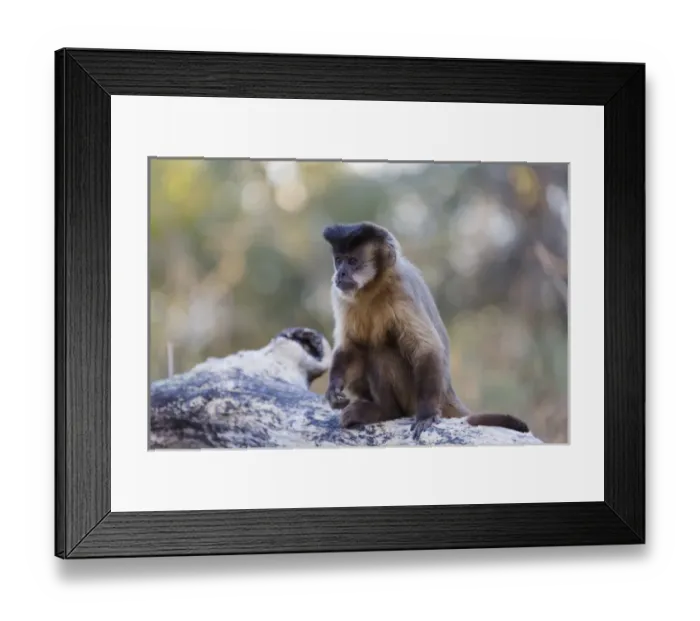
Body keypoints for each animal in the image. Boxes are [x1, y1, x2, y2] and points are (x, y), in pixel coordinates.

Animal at [321, 221, 530, 441]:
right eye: (339, 261)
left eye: (353, 261)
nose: (340, 273)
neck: (372, 289)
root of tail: (447, 392)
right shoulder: (340, 294)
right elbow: (350, 346)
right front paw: (333, 388)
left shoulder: (401, 290)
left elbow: (426, 348)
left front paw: (427, 415)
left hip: (413, 395)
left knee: (380, 350)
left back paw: (387, 410)